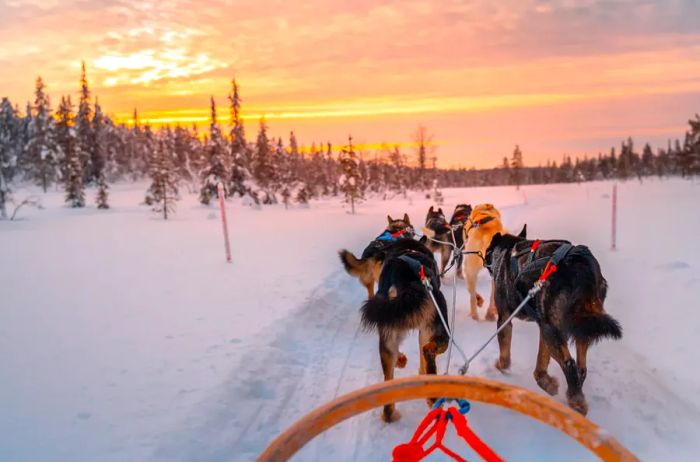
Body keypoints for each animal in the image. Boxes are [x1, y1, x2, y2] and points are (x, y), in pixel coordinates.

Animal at [358, 238, 452, 422]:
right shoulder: (426, 331)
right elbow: (422, 356)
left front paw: (401, 360)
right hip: (441, 326)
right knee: (428, 350)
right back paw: (432, 397)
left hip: (387, 338)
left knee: (388, 389)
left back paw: (390, 414)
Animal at [484, 226, 620, 416]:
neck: (508, 250)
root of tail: (580, 266)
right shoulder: (544, 326)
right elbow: (541, 363)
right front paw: (546, 381)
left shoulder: (505, 319)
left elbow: (505, 353)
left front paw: (502, 366)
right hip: (577, 325)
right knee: (581, 368)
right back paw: (575, 392)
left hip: (554, 330)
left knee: (570, 364)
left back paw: (576, 401)